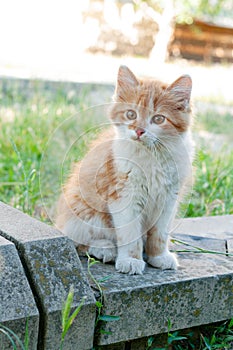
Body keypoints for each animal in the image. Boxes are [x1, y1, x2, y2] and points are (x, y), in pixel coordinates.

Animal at [55, 65, 194, 274]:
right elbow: (129, 234)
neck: (151, 156)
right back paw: (105, 249)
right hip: (84, 213)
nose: (139, 130)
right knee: (79, 241)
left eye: (158, 119)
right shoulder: (124, 196)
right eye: (131, 114)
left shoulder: (169, 199)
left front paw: (159, 256)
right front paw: (131, 260)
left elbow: (160, 234)